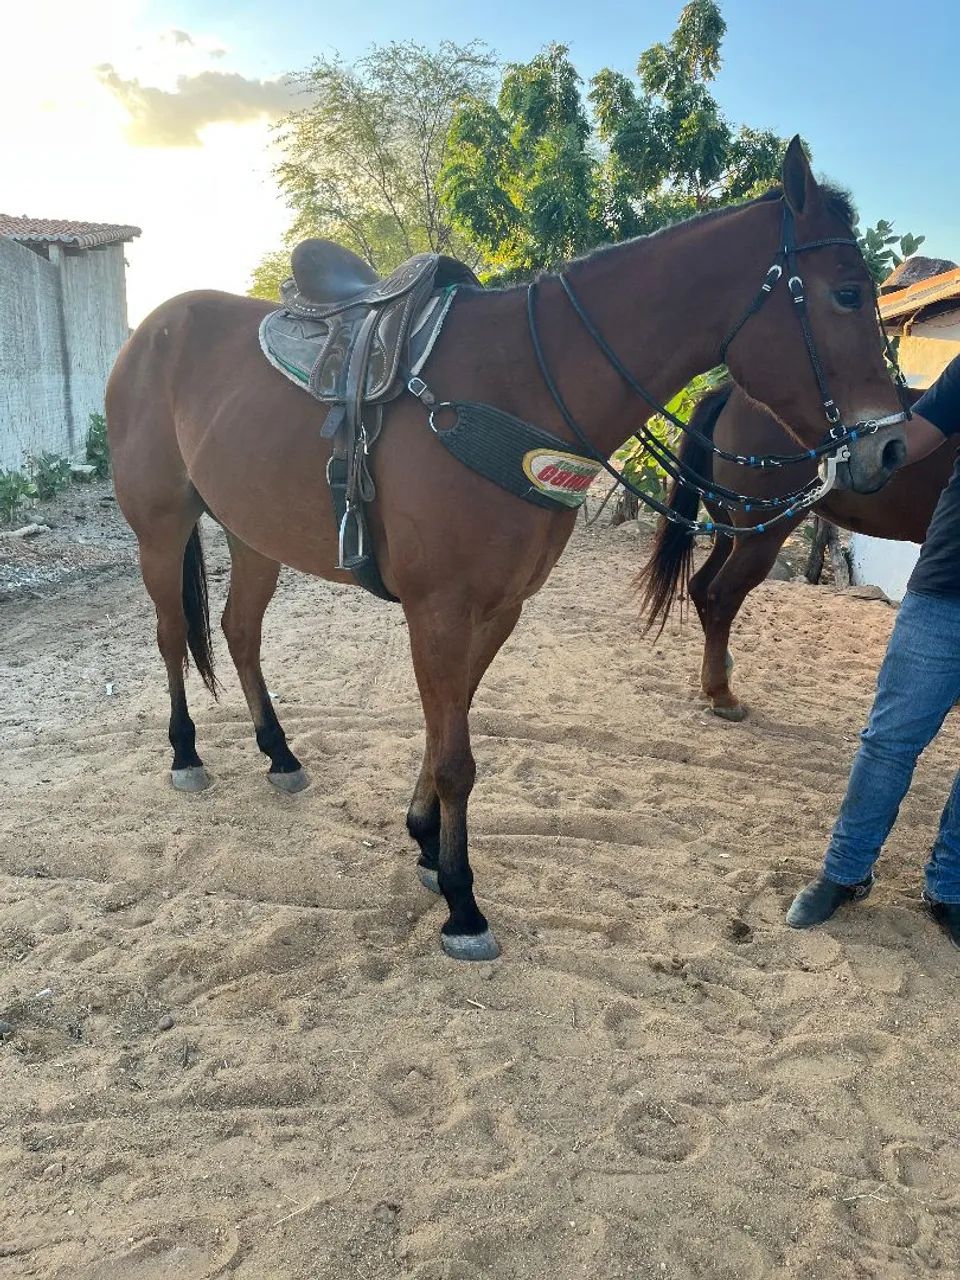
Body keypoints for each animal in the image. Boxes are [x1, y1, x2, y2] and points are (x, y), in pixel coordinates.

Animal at [106, 138, 909, 960]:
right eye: (848, 294)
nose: (891, 448)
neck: (518, 388)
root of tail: (152, 329)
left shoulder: (499, 608)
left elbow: (446, 728)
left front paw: (428, 846)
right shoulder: (438, 608)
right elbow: (455, 757)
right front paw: (462, 901)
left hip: (251, 533)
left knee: (239, 632)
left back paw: (279, 753)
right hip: (160, 527)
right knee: (172, 634)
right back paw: (185, 754)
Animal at [639, 382, 958, 720]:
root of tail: (730, 393)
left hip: (730, 533)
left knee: (701, 586)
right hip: (761, 537)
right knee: (722, 594)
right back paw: (722, 694)